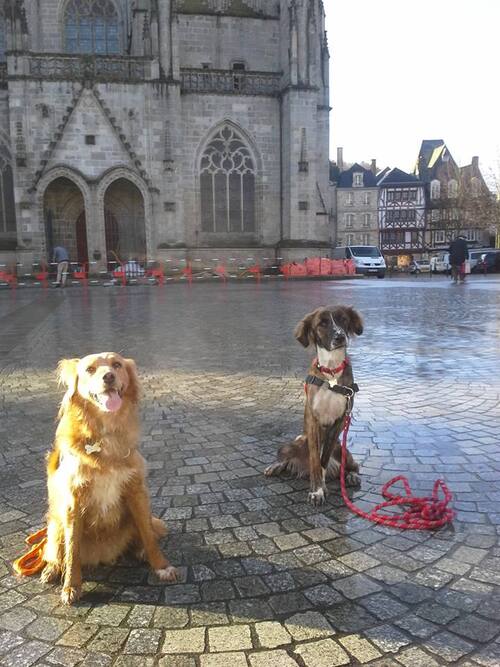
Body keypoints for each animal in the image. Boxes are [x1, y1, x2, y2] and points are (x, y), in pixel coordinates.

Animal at [42, 354, 178, 604]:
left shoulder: (136, 491)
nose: (108, 377)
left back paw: (140, 551)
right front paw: (71, 586)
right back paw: (51, 570)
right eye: (89, 369)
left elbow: (148, 535)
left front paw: (161, 566)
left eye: (117, 365)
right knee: (56, 552)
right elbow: (72, 549)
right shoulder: (73, 500)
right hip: (55, 525)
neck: (104, 433)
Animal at [266, 308, 364, 506]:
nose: (340, 337)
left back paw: (351, 476)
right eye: (322, 323)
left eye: (343, 319)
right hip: (295, 442)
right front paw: (316, 491)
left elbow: (323, 459)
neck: (331, 371)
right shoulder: (313, 419)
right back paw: (275, 466)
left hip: (341, 449)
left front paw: (321, 488)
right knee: (285, 457)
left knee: (353, 466)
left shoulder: (340, 421)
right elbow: (315, 460)